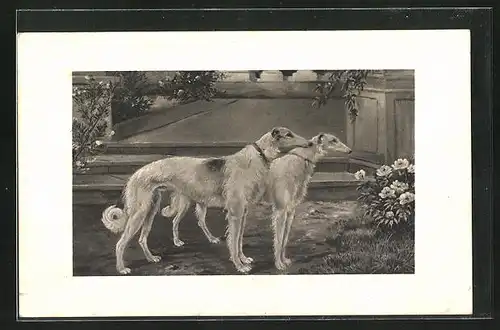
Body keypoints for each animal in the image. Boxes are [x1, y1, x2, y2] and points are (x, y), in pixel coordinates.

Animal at [101, 127, 310, 274]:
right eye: (288, 134)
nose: (309, 143)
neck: (258, 157)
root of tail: (135, 174)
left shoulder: (242, 213)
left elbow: (239, 241)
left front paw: (244, 260)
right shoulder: (235, 214)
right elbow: (234, 241)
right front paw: (239, 266)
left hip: (151, 210)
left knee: (143, 238)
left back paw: (151, 258)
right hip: (140, 212)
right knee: (121, 243)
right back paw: (121, 268)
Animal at [270, 132, 352, 270]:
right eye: (333, 140)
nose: (350, 150)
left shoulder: (290, 210)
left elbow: (284, 239)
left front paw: (284, 260)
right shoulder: (280, 211)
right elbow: (279, 239)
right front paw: (278, 264)